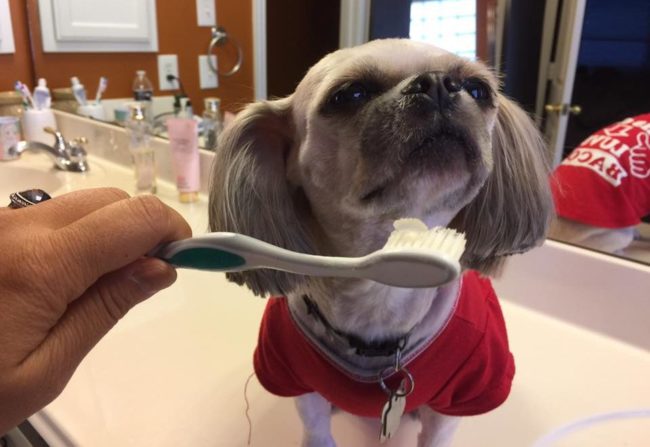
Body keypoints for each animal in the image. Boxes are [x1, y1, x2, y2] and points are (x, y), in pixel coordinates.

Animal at [209, 39, 552, 447]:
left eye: (478, 89)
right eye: (349, 94)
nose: (437, 84)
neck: (381, 294)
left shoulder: (467, 389)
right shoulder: (292, 377)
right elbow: (316, 431)